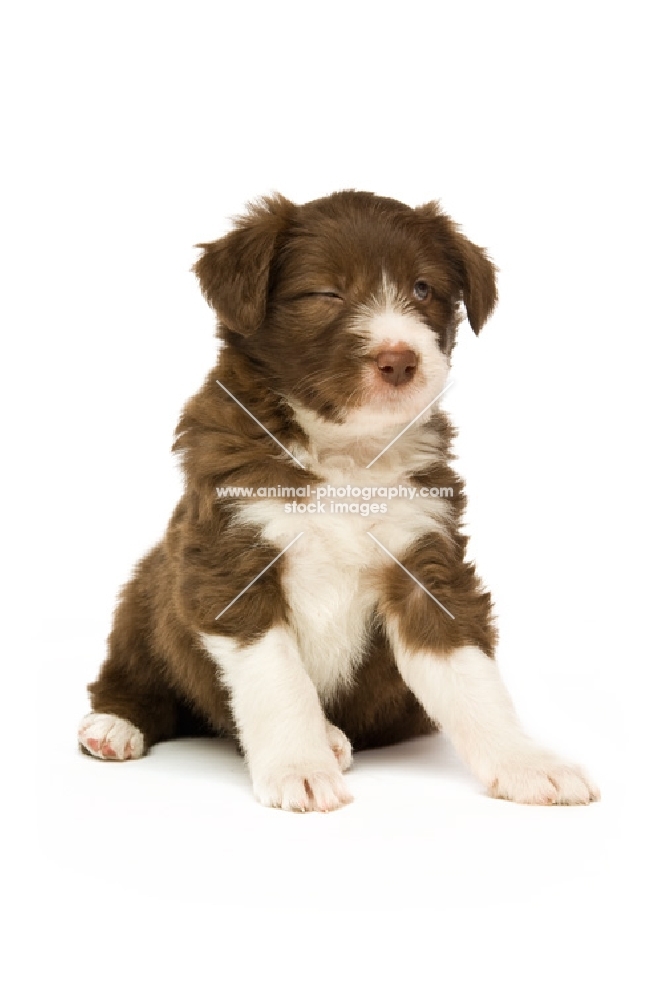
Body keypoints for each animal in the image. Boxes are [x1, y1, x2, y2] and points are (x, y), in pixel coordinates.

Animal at [80, 189, 600, 812]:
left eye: (423, 289)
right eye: (326, 293)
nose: (399, 359)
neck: (347, 454)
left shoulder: (426, 559)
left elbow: (469, 670)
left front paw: (526, 762)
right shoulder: (230, 559)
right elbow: (277, 675)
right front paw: (300, 768)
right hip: (147, 589)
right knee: (134, 675)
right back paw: (116, 725)